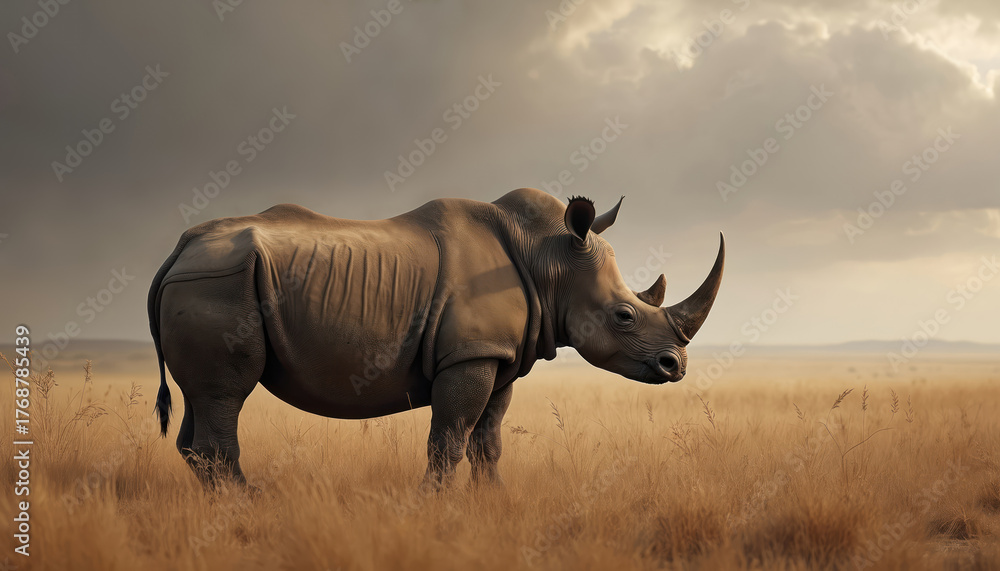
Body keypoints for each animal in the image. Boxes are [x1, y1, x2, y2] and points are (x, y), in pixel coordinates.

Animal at [148, 188, 724, 488]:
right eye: (624, 316)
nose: (676, 366)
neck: (548, 258)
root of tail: (178, 249)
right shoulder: (467, 355)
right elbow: (448, 440)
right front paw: (432, 507)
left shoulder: (498, 356)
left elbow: (487, 441)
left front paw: (493, 503)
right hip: (219, 283)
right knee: (226, 394)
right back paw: (249, 506)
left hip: (210, 281)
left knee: (203, 400)